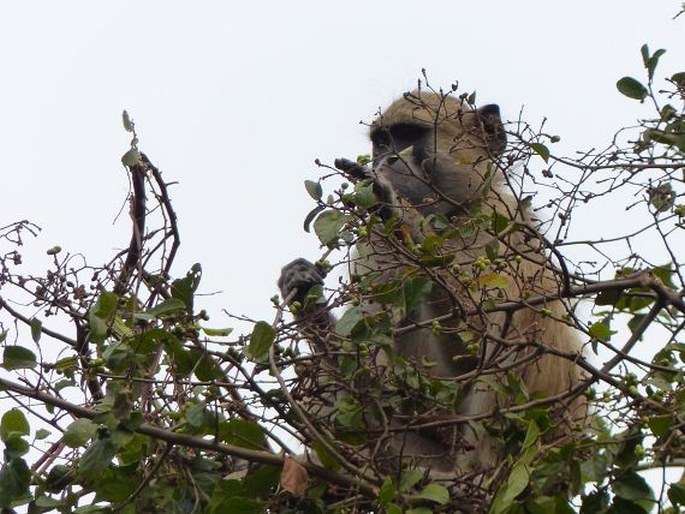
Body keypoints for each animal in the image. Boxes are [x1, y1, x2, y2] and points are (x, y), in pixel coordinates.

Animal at [276, 89, 584, 480]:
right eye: (382, 141)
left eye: (409, 135)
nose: (388, 159)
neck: (446, 220)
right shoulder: (376, 244)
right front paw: (304, 294)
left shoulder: (501, 223)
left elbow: (485, 347)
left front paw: (395, 206)